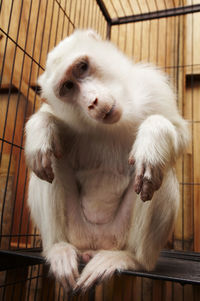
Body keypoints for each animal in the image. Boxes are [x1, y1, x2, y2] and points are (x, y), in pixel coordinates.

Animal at [25, 29, 189, 290]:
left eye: (82, 67)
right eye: (68, 86)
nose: (92, 101)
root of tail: (96, 244)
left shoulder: (153, 87)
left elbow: (178, 132)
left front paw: (153, 136)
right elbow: (49, 130)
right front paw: (41, 127)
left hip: (119, 235)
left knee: (159, 173)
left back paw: (132, 259)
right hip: (78, 233)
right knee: (49, 161)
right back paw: (57, 249)